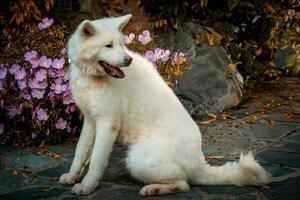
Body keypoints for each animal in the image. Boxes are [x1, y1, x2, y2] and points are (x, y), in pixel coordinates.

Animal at [58, 14, 270, 197]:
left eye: (121, 45)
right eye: (108, 46)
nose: (128, 60)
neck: (91, 78)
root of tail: (200, 164)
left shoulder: (107, 124)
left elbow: (95, 160)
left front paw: (87, 186)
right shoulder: (90, 121)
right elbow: (80, 152)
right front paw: (72, 176)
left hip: (137, 158)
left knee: (184, 183)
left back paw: (153, 189)